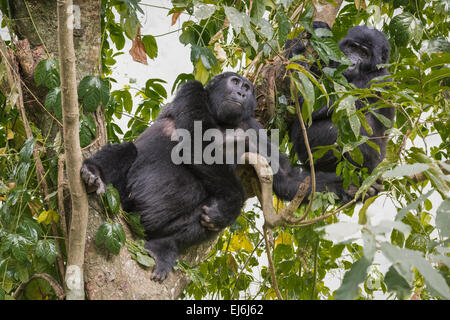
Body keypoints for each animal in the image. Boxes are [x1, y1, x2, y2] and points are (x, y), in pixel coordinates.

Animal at [80, 72, 300, 280]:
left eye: (247, 87)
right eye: (235, 82)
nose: (241, 93)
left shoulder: (253, 127)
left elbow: (285, 176)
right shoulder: (192, 90)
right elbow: (196, 143)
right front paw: (233, 200)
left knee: (208, 217)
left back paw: (164, 247)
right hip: (124, 202)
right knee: (128, 150)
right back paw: (94, 171)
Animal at [288, 25, 394, 202]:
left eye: (364, 54)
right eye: (352, 47)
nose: (350, 61)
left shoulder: (374, 82)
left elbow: (310, 104)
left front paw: (294, 51)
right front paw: (319, 29)